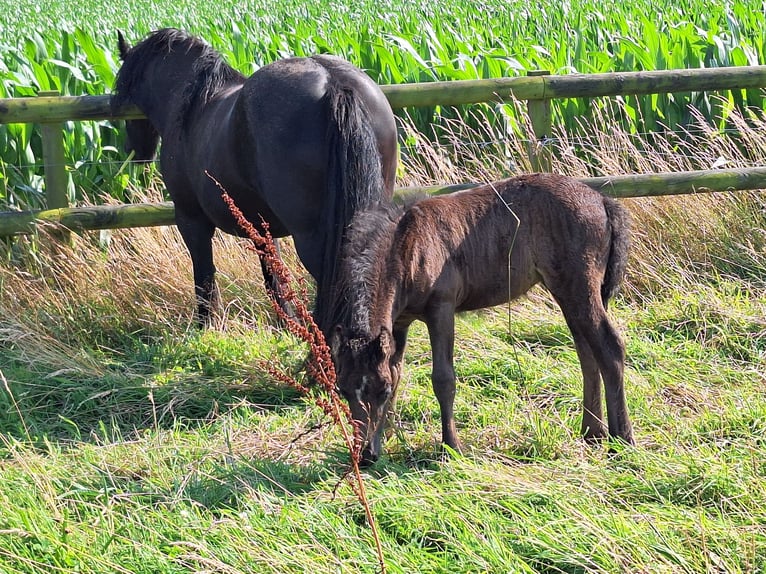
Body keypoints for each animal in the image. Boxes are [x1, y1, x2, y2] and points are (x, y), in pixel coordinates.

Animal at [111, 29, 400, 330]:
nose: (134, 151)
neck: (191, 108)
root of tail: (333, 82)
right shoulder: (262, 227)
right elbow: (273, 277)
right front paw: (287, 325)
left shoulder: (191, 220)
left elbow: (204, 276)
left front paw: (206, 326)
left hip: (311, 234)